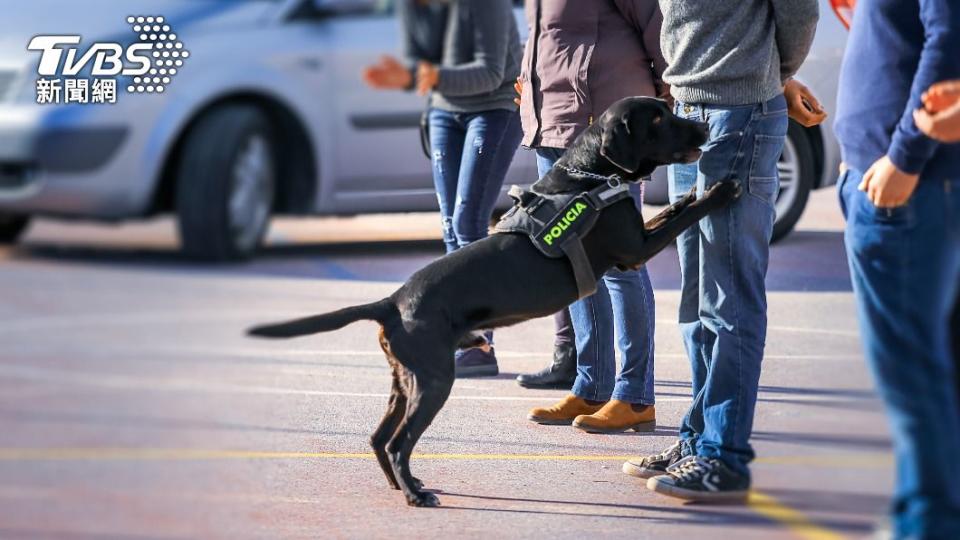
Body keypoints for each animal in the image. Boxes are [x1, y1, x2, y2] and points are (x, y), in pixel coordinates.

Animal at [248, 96, 736, 506]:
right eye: (658, 120)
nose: (702, 128)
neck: (590, 175)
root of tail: (393, 300)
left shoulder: (637, 237)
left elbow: (674, 209)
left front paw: (695, 190)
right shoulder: (634, 250)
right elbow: (683, 216)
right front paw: (720, 191)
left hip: (405, 380)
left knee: (378, 438)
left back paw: (403, 485)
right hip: (434, 380)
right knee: (398, 441)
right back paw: (415, 495)